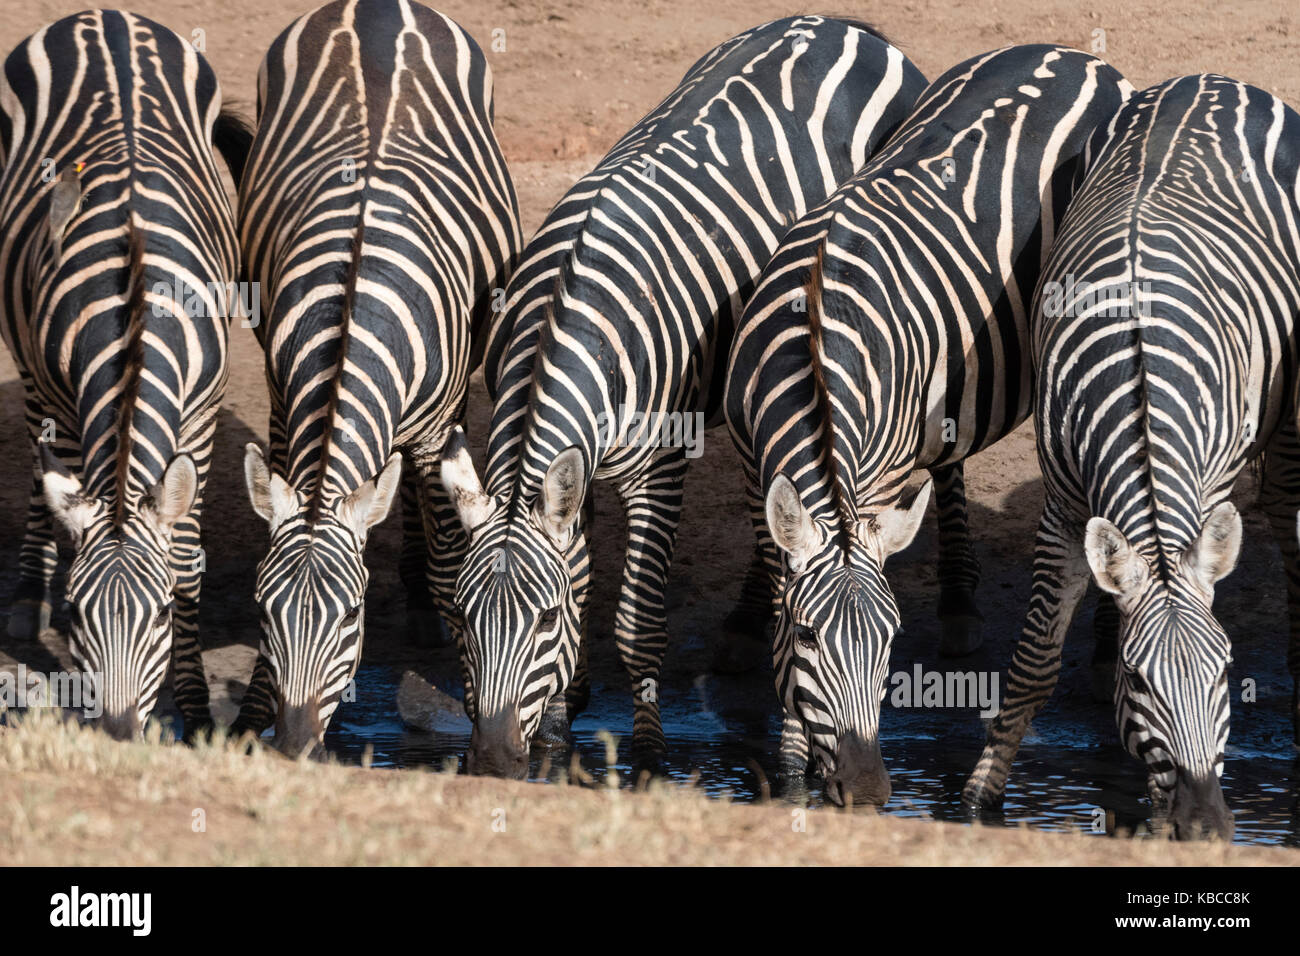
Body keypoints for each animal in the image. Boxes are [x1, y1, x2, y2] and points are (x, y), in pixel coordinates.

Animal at [0, 10, 247, 739]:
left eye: (162, 612)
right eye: (79, 615)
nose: (115, 734)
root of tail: (104, 15)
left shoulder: (202, 413)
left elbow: (185, 552)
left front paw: (192, 707)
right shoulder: (68, 400)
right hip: (32, 369)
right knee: (38, 466)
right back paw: (26, 594)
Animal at [233, 0, 521, 756]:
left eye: (350, 615)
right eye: (262, 610)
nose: (296, 745)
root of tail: (376, 6)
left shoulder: (435, 427)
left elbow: (453, 563)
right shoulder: (283, 402)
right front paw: (248, 710)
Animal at [440, 15, 927, 777]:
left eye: (539, 621)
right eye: (461, 619)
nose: (490, 763)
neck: (567, 320)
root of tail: (837, 23)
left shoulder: (658, 470)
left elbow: (636, 622)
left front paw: (646, 756)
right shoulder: (570, 469)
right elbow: (578, 579)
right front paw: (557, 727)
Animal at [724, 45, 1133, 806]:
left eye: (889, 642)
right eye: (807, 638)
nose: (868, 792)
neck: (814, 350)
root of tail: (1066, 51)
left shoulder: (875, 478)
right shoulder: (752, 463)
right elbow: (776, 568)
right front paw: (792, 763)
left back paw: (1094, 648)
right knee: (949, 461)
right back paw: (960, 604)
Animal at [963, 74, 1300, 840]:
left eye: (1225, 673)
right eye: (1139, 683)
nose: (1207, 826)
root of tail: (1209, 77)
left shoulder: (1211, 489)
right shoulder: (1062, 506)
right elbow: (1033, 663)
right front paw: (978, 799)